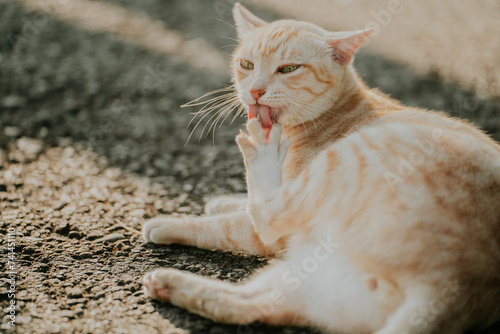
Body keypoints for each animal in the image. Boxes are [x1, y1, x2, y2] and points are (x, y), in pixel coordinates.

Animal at [143, 3, 500, 334]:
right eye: (246, 64)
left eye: (288, 69)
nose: (255, 91)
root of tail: (459, 286)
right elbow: (244, 205)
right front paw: (222, 201)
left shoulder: (277, 234)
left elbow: (230, 225)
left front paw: (172, 223)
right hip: (305, 280)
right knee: (245, 306)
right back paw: (167, 284)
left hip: (347, 161)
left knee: (266, 216)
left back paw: (260, 151)